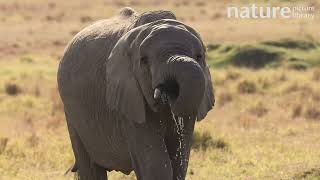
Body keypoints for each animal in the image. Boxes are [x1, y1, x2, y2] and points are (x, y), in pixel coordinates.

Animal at [57, 7, 215, 180]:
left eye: (199, 56)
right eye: (144, 60)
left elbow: (179, 163)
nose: (169, 91)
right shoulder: (128, 98)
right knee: (89, 167)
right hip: (72, 113)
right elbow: (156, 165)